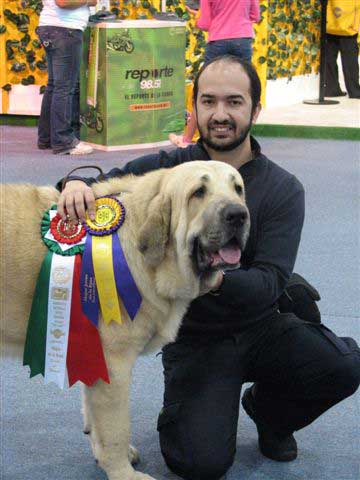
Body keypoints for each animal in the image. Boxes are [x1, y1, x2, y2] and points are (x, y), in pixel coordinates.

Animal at [0, 161, 249, 480]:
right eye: (198, 192)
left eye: (237, 188)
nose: (238, 214)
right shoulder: (113, 366)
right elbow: (116, 428)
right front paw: (122, 472)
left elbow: (94, 416)